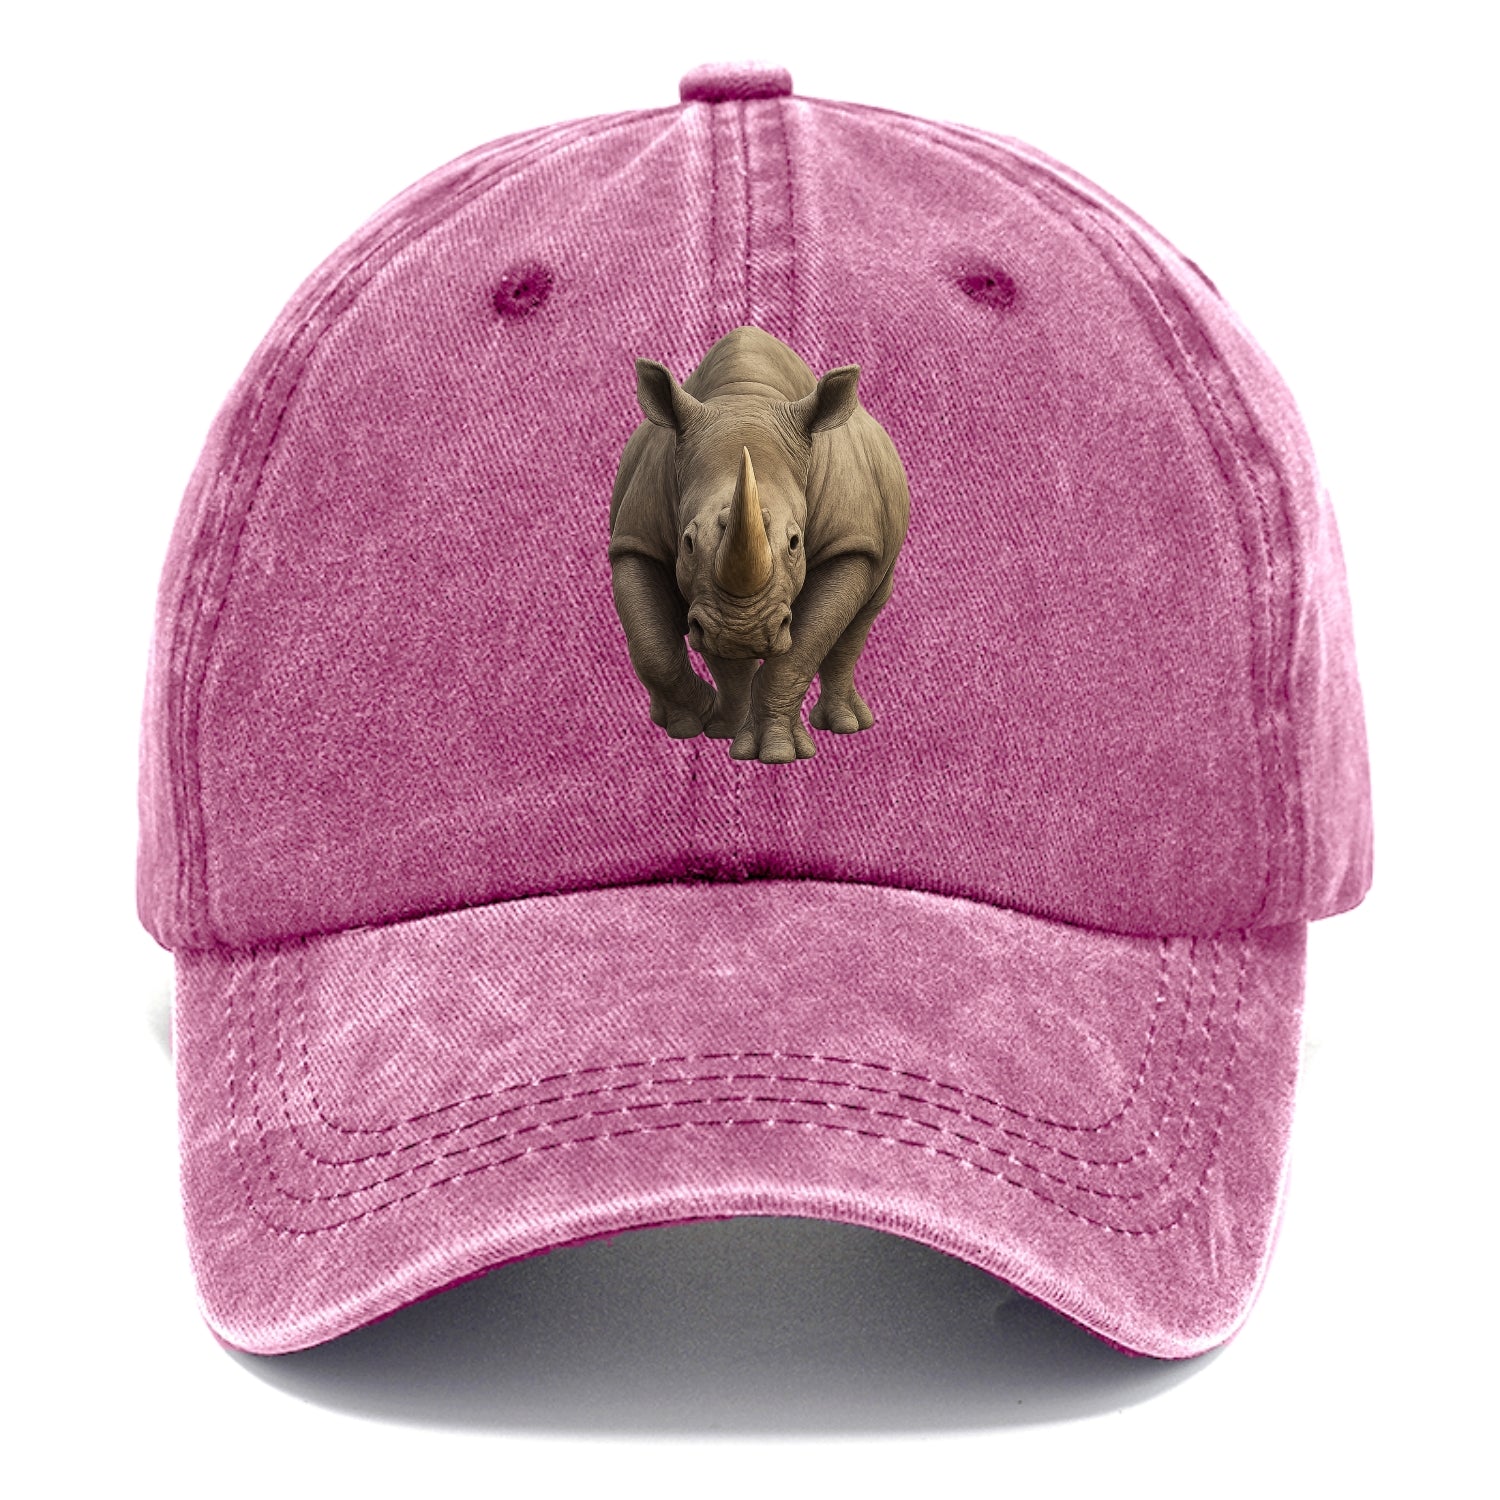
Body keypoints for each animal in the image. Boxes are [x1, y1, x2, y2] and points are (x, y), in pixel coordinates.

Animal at [607, 325, 910, 764]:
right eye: (687, 542)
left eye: (795, 542)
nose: (742, 632)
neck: (746, 396)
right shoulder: (635, 539)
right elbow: (652, 648)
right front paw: (692, 723)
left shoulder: (850, 544)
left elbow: (803, 648)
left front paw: (777, 754)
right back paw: (721, 726)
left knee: (862, 616)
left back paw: (846, 725)